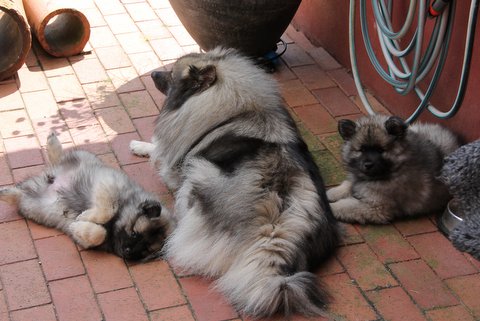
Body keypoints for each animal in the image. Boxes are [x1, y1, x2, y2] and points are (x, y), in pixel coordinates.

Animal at [0, 132, 172, 260]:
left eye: (146, 250)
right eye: (135, 234)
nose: (127, 252)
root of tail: (49, 176)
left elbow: (99, 234)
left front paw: (78, 226)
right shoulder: (108, 183)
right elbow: (107, 210)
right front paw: (84, 217)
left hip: (31, 204)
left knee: (19, 194)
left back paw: (5, 192)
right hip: (82, 157)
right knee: (60, 158)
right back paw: (53, 142)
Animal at [129, 48, 340, 318]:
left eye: (172, 76)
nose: (154, 73)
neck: (235, 109)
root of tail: (273, 227)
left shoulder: (178, 166)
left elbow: (159, 153)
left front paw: (141, 146)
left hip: (200, 173)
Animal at [328, 114, 460, 224]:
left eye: (380, 150)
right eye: (362, 149)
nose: (368, 165)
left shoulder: (376, 207)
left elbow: (346, 206)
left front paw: (331, 208)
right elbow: (349, 184)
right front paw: (332, 193)